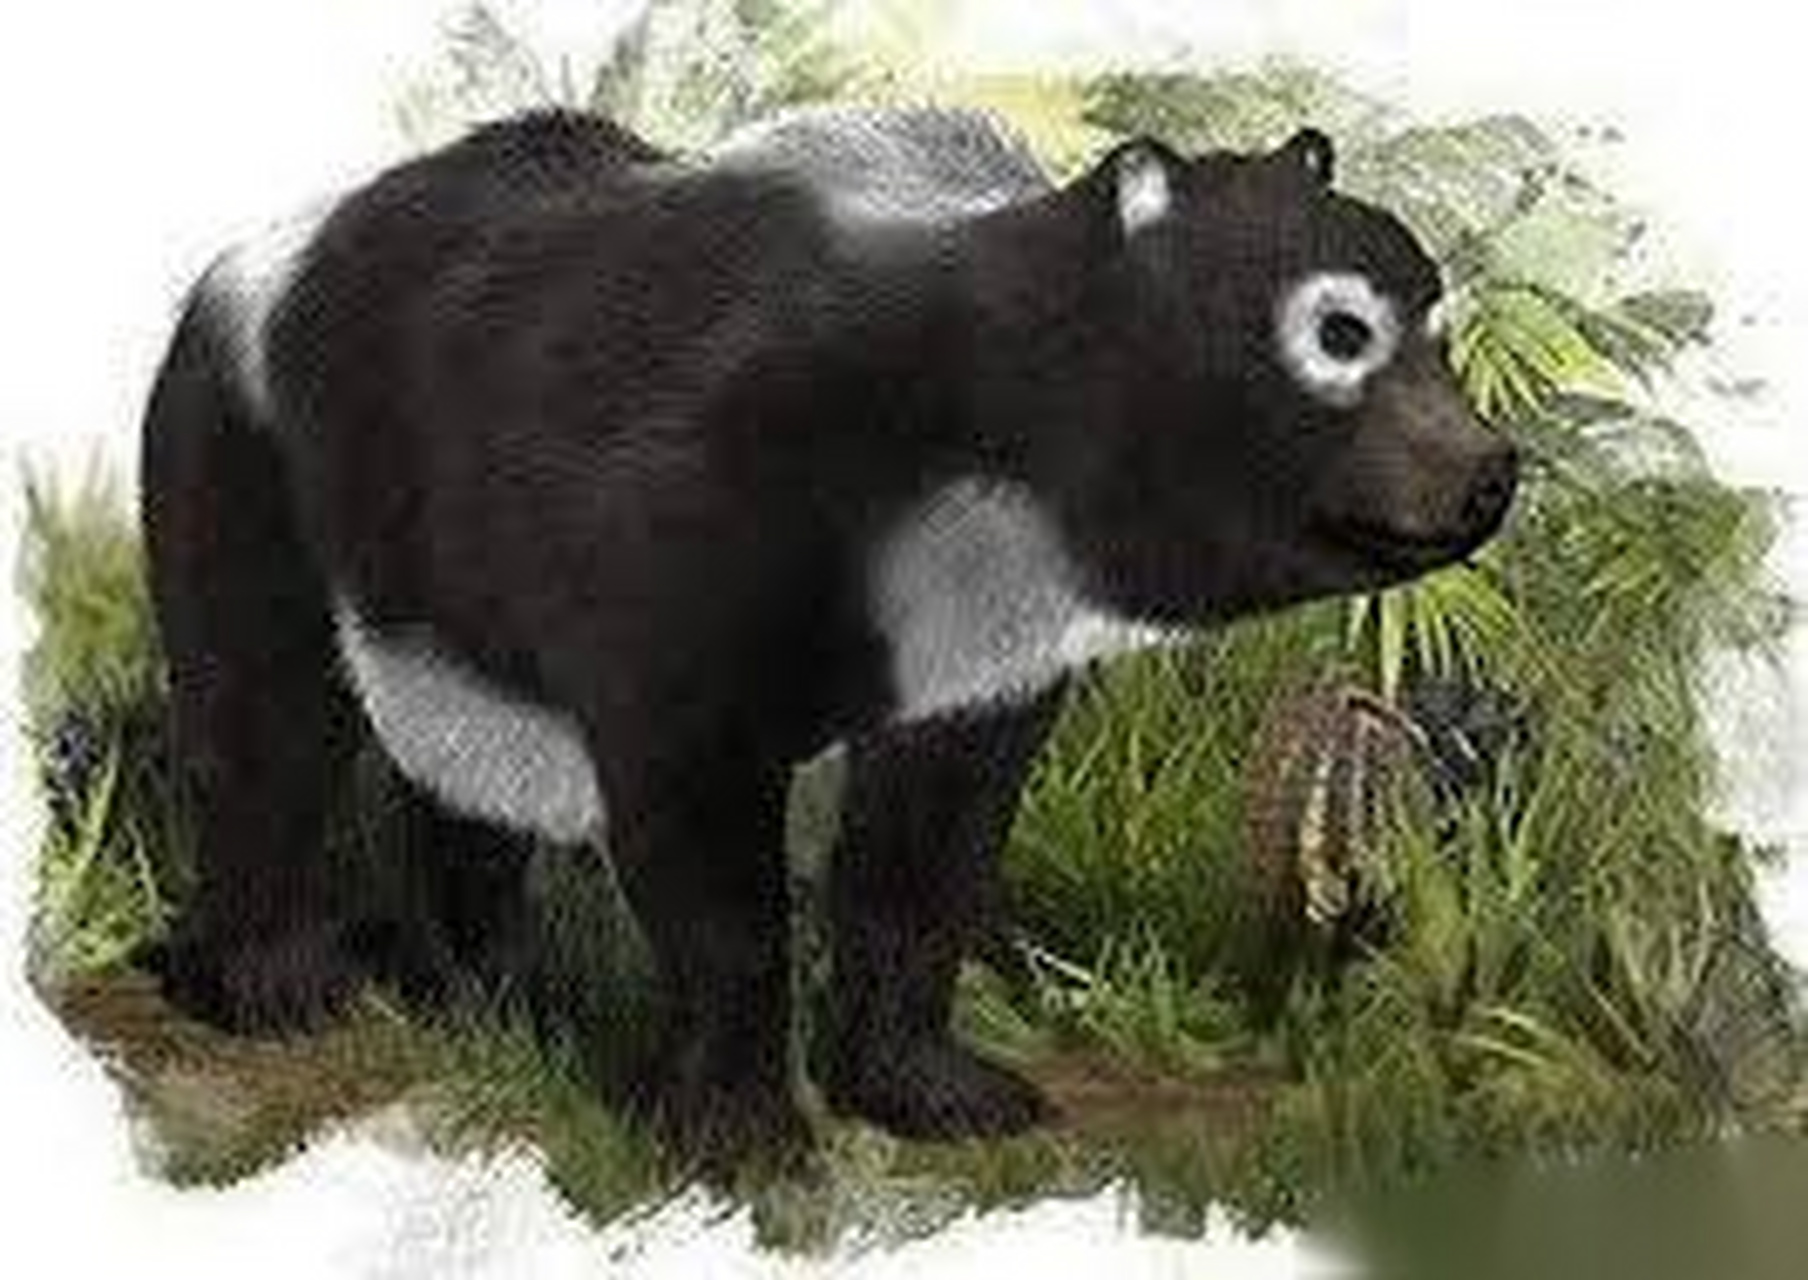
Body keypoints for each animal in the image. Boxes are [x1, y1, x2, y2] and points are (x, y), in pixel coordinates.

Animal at [137, 104, 1516, 1164]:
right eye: (1336, 332)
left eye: (1438, 326)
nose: (1487, 473)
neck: (971, 428)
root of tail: (249, 254)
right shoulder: (697, 517)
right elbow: (701, 829)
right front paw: (738, 1127)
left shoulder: (971, 618)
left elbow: (927, 846)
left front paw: (937, 1086)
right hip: (255, 449)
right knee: (264, 718)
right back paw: (273, 982)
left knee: (464, 769)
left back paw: (492, 987)